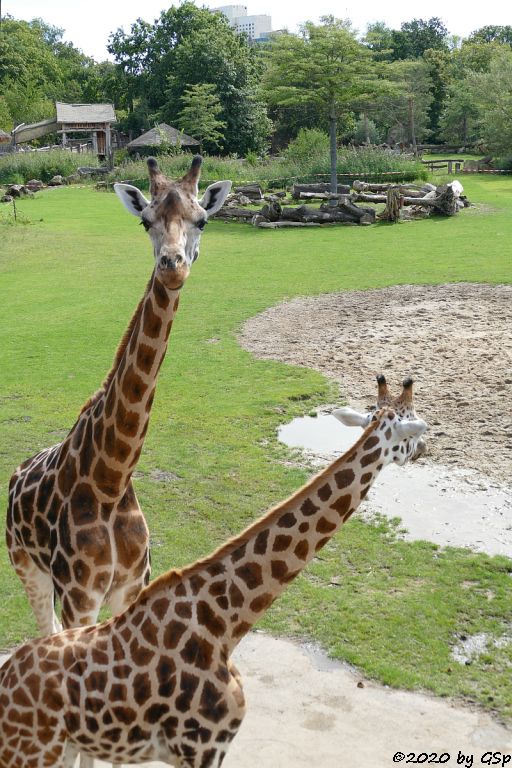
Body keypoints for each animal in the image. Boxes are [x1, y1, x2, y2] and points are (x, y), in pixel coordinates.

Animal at [3, 153, 232, 640]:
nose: (172, 264)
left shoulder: (131, 586)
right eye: (145, 221)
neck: (112, 478)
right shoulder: (78, 597)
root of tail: (16, 471)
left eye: (203, 219)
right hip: (25, 564)